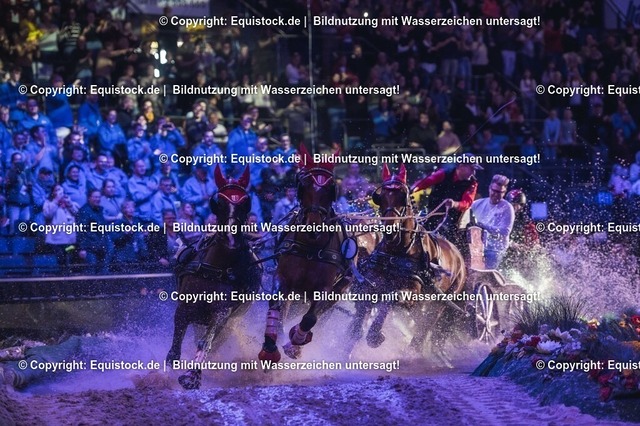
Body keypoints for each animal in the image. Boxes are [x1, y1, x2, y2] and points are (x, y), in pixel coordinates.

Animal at [166, 165, 261, 389]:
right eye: (218, 202)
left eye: (246, 202)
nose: (231, 238)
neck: (216, 269)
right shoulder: (184, 308)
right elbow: (174, 350)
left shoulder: (223, 314)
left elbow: (206, 343)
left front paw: (192, 376)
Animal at [258, 145, 352, 362]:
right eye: (305, 185)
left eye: (330, 188)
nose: (313, 226)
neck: (311, 247)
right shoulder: (282, 277)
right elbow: (276, 305)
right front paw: (270, 346)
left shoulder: (325, 288)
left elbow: (310, 318)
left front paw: (295, 343)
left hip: (341, 288)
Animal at [347, 164, 467, 355]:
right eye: (379, 197)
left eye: (403, 197)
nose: (390, 231)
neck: (397, 252)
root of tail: (458, 255)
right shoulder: (370, 285)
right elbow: (357, 324)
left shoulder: (411, 295)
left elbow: (391, 297)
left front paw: (375, 336)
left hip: (440, 304)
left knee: (422, 332)